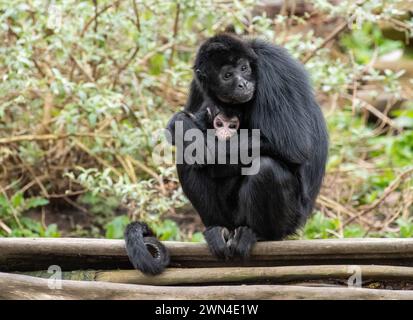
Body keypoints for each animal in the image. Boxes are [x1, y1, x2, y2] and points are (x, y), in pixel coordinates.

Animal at [124, 33, 326, 276]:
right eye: (228, 75)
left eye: (244, 68)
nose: (243, 83)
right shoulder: (198, 83)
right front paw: (182, 126)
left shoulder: (274, 67)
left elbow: (293, 143)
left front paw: (194, 138)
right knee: (186, 160)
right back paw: (218, 231)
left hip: (290, 218)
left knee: (266, 167)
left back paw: (258, 234)